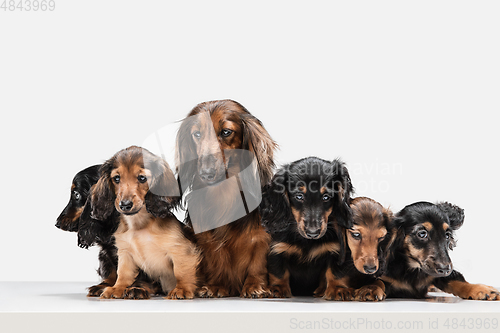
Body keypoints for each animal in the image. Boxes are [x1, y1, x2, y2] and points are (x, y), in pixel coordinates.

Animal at [91, 145, 200, 298]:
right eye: (116, 178)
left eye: (142, 178)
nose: (125, 205)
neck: (139, 225)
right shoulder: (125, 252)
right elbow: (123, 273)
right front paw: (117, 288)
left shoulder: (180, 248)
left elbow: (181, 271)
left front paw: (182, 289)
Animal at [176, 99, 278, 298]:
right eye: (197, 134)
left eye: (226, 132)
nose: (206, 173)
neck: (223, 192)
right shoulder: (207, 238)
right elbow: (216, 258)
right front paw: (216, 285)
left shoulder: (261, 236)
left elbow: (258, 262)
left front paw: (255, 286)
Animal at [260, 156, 354, 298]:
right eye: (299, 196)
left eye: (326, 197)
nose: (313, 233)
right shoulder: (277, 248)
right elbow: (279, 271)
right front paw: (278, 288)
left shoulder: (337, 250)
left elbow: (336, 271)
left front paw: (338, 288)